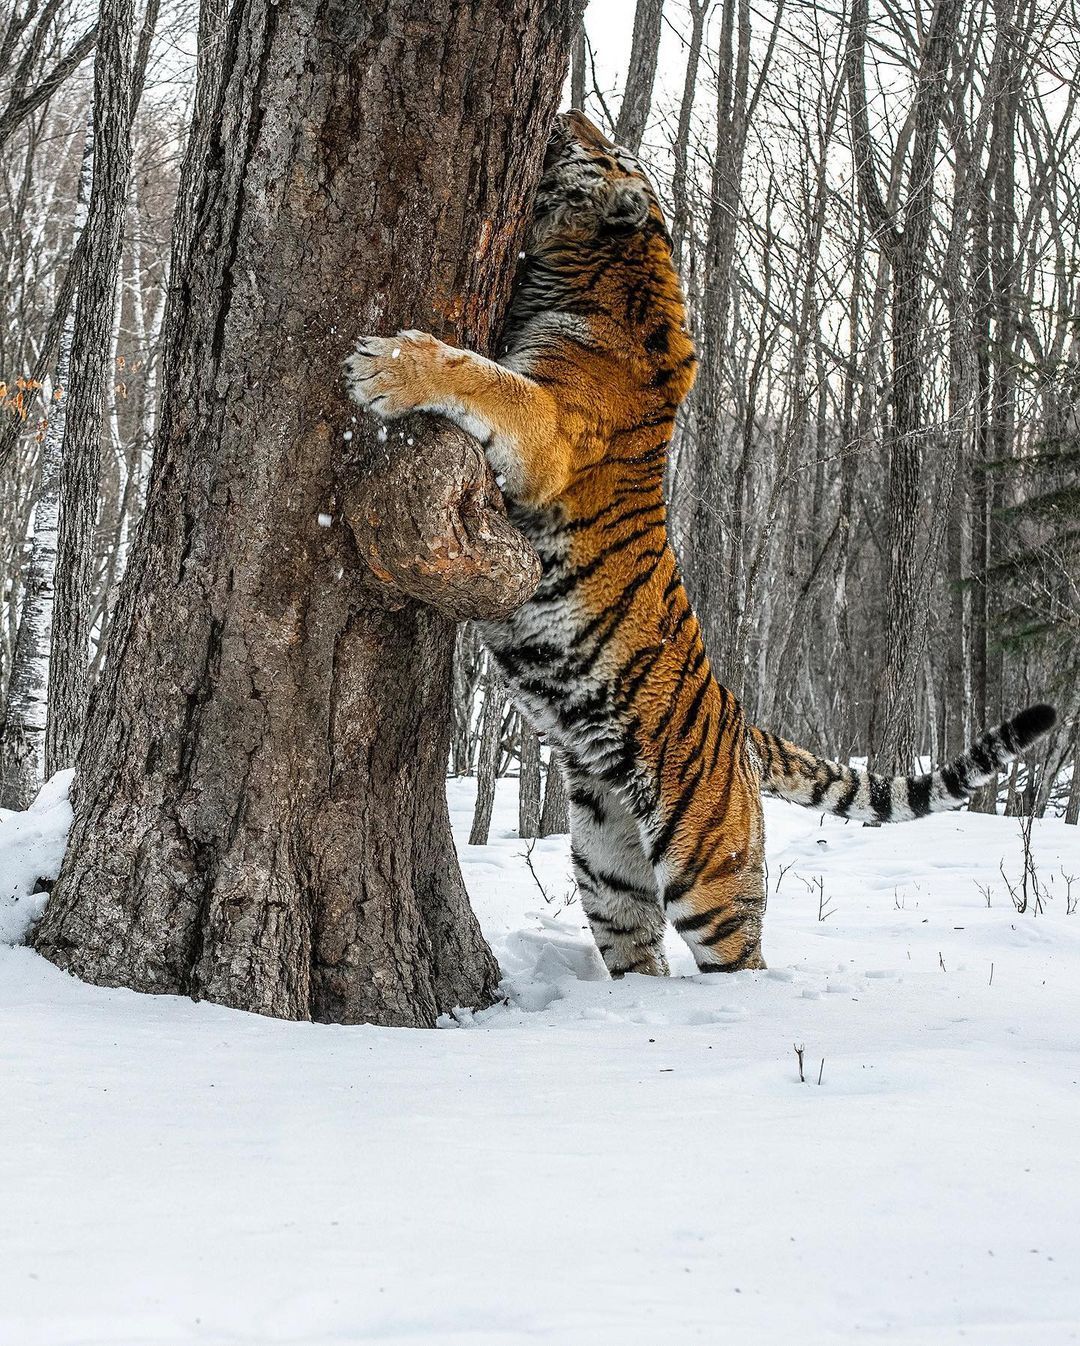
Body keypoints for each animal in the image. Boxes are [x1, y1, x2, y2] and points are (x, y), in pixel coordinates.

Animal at [343, 110, 1050, 979]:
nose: (568, 114)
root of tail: (743, 729)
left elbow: (482, 375)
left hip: (706, 872)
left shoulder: (547, 429)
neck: (606, 268)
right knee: (636, 948)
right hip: (605, 864)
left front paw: (387, 364)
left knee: (739, 959)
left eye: (608, 148)